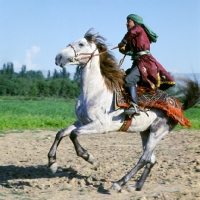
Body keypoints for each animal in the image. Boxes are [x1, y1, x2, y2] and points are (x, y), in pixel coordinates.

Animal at [47, 29, 199, 191]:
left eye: (81, 44)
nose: (58, 57)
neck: (94, 92)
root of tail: (179, 107)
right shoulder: (82, 122)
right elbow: (61, 133)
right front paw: (52, 163)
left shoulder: (101, 126)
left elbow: (74, 134)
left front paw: (89, 157)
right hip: (146, 133)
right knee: (151, 160)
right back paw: (136, 186)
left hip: (157, 132)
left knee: (144, 158)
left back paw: (119, 183)